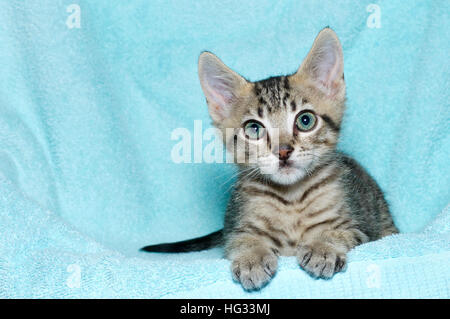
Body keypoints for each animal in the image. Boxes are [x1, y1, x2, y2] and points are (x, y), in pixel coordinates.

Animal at [142, 28, 400, 292]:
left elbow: (337, 231)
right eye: (254, 129)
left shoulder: (359, 227)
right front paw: (252, 258)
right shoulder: (236, 230)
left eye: (305, 120)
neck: (292, 200)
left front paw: (322, 246)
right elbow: (244, 239)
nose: (283, 151)